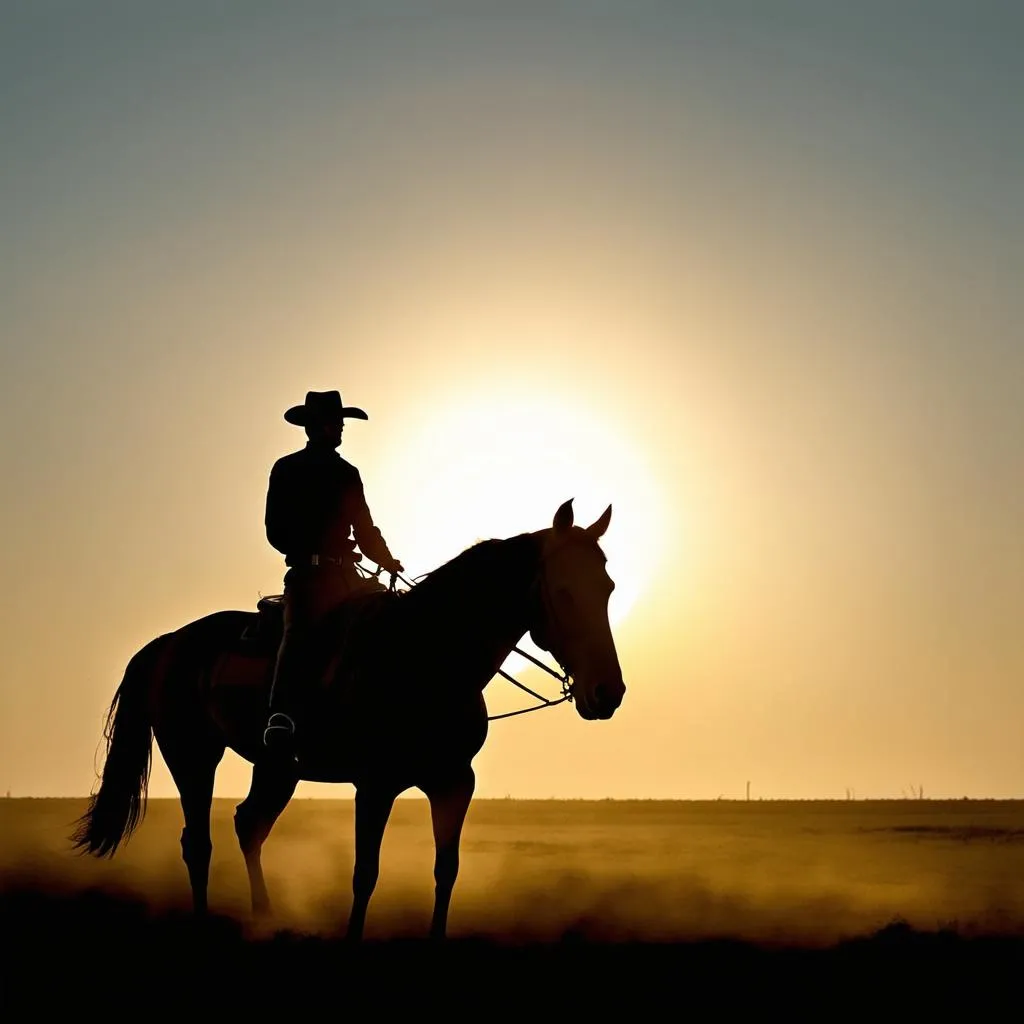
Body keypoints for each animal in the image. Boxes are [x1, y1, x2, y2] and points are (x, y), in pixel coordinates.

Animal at [72, 499, 622, 937]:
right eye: (564, 590)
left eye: (609, 587)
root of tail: (168, 643)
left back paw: (265, 918)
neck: (426, 653)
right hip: (192, 754)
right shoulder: (375, 784)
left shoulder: (453, 782)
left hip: (277, 766)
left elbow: (446, 870)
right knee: (198, 842)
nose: (607, 692)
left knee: (249, 825)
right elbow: (365, 873)